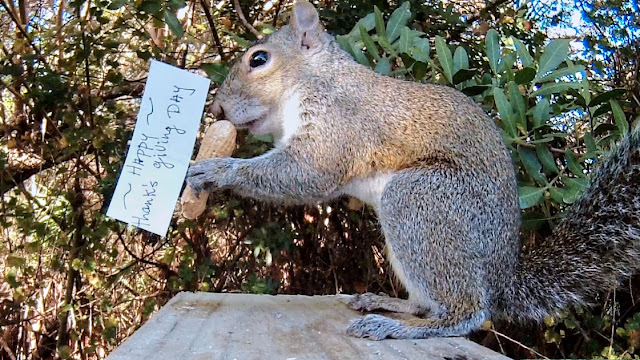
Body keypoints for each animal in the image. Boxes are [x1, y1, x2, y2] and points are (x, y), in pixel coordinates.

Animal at [185, 0, 640, 340]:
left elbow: (307, 173)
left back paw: (399, 327)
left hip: (421, 200)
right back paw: (387, 303)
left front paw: (216, 169)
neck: (316, 80)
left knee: (465, 313)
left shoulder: (337, 124)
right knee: (425, 302)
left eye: (259, 59)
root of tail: (502, 277)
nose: (216, 110)